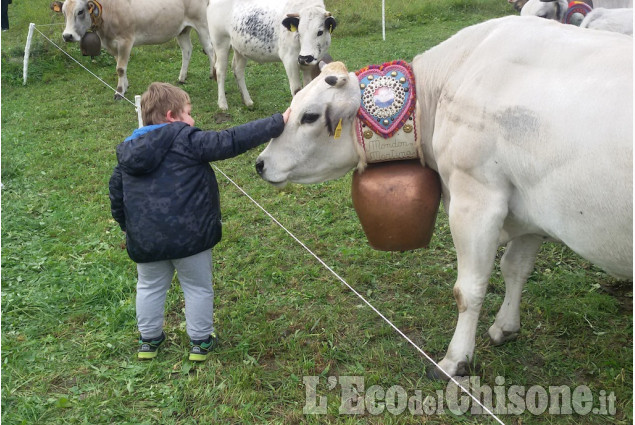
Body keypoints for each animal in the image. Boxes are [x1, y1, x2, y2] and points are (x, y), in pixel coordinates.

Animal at [256, 16, 632, 378]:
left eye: (309, 116)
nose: (260, 163)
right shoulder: (531, 209)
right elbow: (516, 267)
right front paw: (505, 327)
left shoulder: (476, 199)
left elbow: (469, 289)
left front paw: (455, 360)